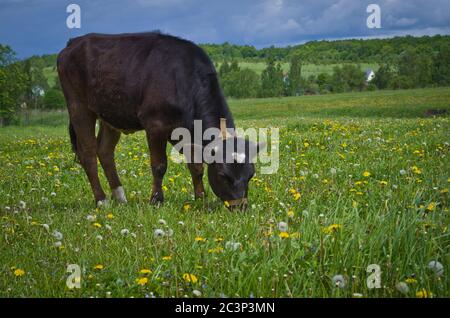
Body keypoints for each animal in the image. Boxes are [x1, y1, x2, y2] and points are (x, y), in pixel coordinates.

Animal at [58, 33, 266, 209]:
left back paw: (120, 197)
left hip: (110, 114)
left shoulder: (186, 133)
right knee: (88, 153)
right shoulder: (155, 125)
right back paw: (102, 200)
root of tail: (73, 42)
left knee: (105, 151)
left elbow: (196, 166)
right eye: (223, 175)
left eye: (251, 174)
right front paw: (156, 200)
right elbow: (159, 165)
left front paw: (200, 198)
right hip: (78, 107)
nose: (240, 207)